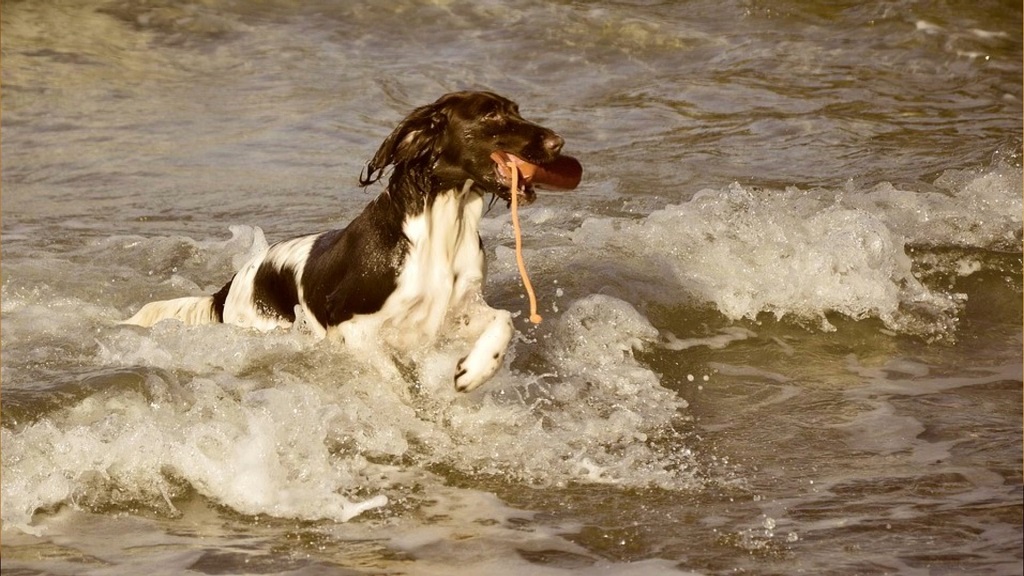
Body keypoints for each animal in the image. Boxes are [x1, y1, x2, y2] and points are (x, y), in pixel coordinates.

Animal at [123, 90, 581, 389]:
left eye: (516, 110)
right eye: (490, 116)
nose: (558, 142)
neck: (440, 230)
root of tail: (232, 284)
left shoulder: (456, 310)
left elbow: (503, 320)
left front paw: (475, 369)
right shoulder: (353, 329)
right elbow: (396, 379)